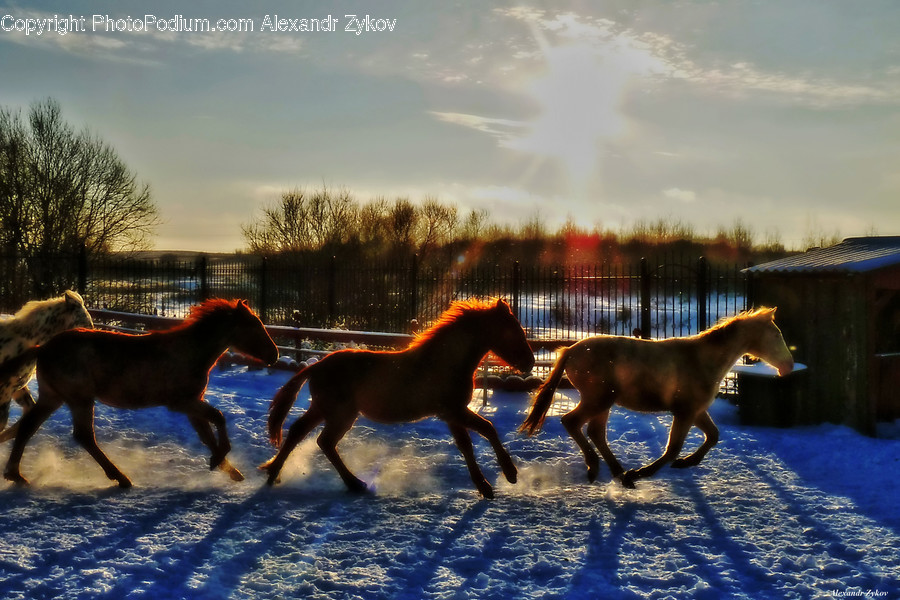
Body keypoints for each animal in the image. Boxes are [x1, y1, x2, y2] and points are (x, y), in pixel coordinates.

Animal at [260, 298, 535, 499]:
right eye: (512, 331)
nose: (530, 363)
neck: (443, 362)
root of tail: (317, 366)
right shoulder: (453, 411)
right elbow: (487, 429)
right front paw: (508, 475)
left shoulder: (452, 415)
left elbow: (466, 445)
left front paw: (485, 485)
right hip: (340, 414)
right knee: (323, 442)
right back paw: (355, 484)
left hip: (323, 409)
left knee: (299, 432)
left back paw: (273, 474)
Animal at [520, 307, 793, 488]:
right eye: (777, 334)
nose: (788, 366)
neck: (701, 360)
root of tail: (570, 350)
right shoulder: (684, 412)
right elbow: (672, 449)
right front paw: (644, 472)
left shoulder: (696, 411)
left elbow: (713, 436)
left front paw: (687, 462)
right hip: (598, 400)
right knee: (571, 422)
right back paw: (600, 468)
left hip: (602, 403)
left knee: (595, 432)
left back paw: (619, 473)